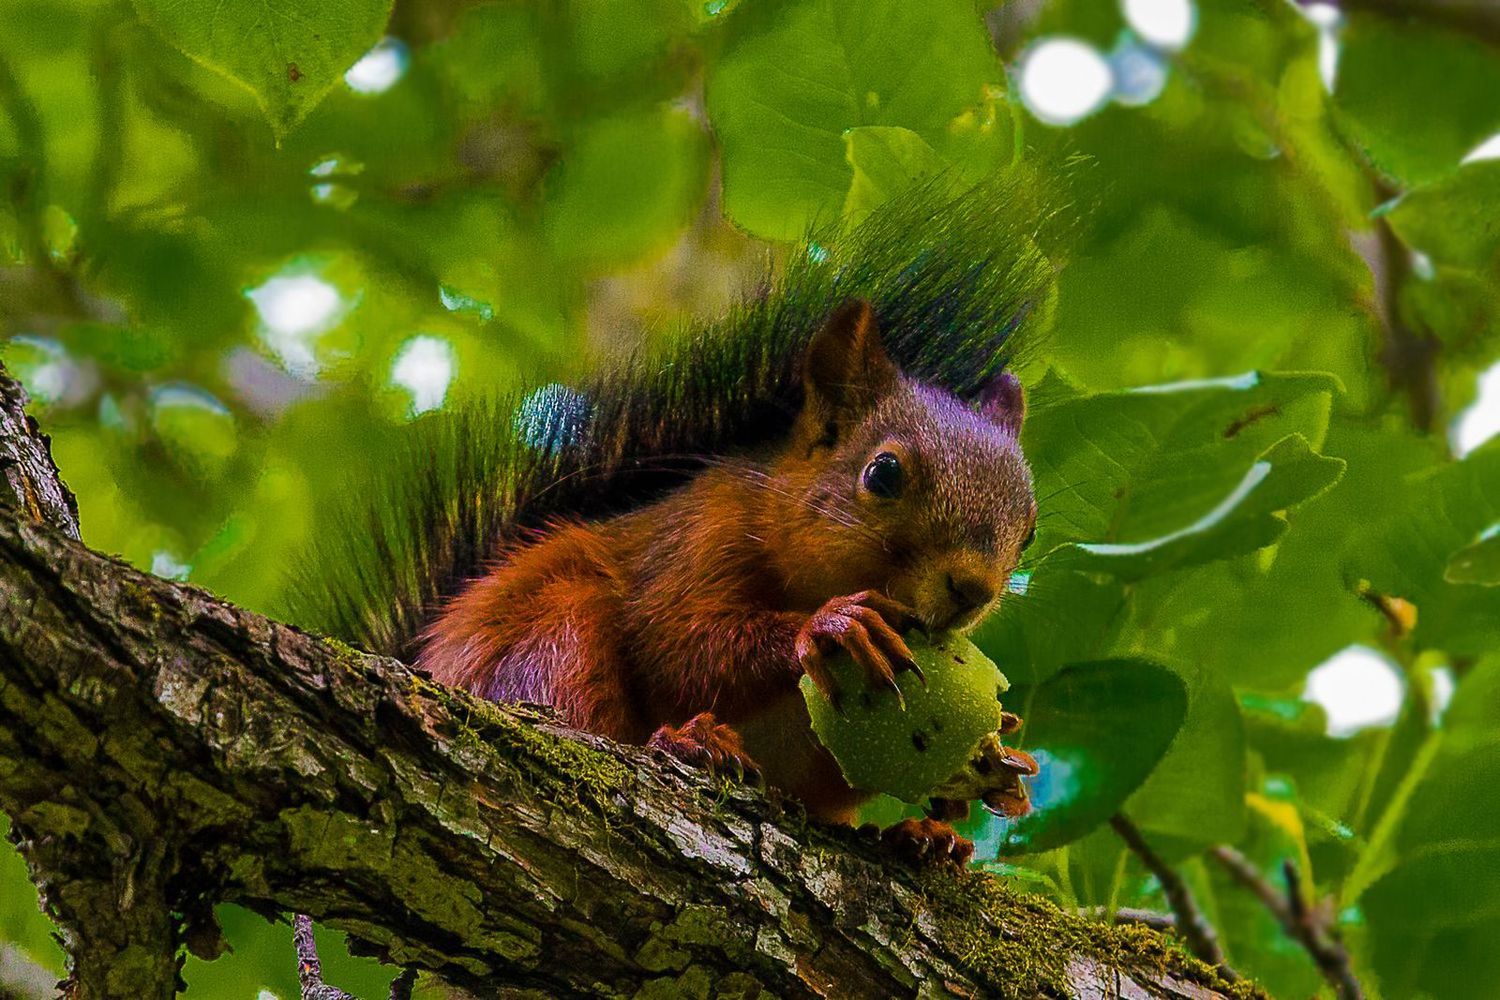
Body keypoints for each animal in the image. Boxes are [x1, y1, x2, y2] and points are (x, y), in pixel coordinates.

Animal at [295, 182, 1056, 869]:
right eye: (884, 474)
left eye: (1029, 528)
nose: (971, 589)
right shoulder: (698, 535)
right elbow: (677, 644)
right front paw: (828, 628)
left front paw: (993, 761)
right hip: (547, 630)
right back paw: (687, 743)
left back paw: (917, 838)